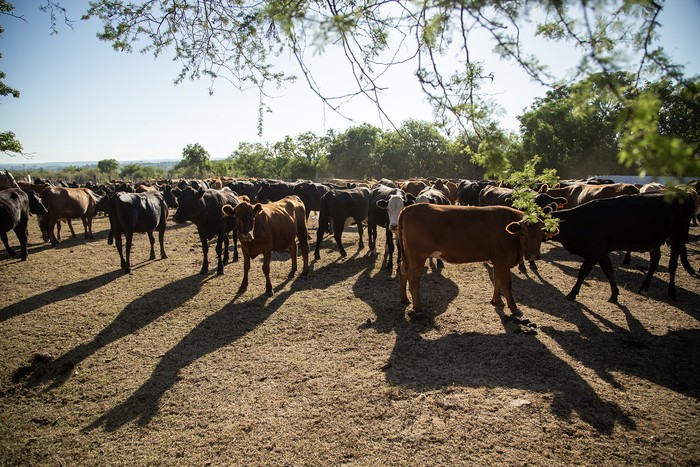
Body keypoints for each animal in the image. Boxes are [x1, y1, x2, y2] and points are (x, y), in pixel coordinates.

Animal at [396, 205, 544, 322]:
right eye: (522, 234)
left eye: (541, 234)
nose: (533, 255)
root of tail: (413, 207)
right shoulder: (503, 260)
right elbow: (506, 284)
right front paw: (514, 308)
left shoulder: (497, 261)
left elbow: (497, 281)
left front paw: (496, 301)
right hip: (418, 256)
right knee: (414, 279)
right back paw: (418, 308)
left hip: (409, 256)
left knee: (403, 270)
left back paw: (404, 299)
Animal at [548, 192, 696, 302]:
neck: (578, 220)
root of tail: (684, 194)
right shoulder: (601, 252)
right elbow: (609, 272)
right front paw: (614, 294)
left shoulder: (594, 252)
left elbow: (583, 273)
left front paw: (572, 293)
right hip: (656, 241)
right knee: (655, 261)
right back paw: (644, 287)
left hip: (678, 235)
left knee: (672, 264)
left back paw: (671, 292)